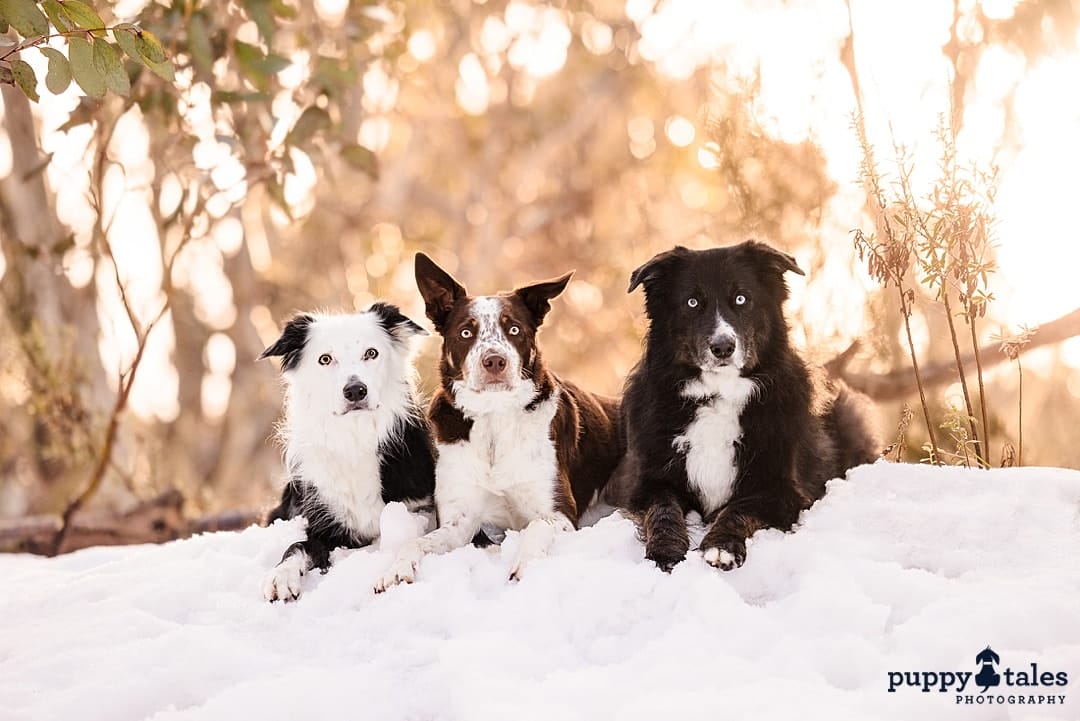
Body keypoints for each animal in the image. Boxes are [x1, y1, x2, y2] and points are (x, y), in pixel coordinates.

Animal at [257, 302, 434, 600]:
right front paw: (281, 575)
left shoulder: (420, 508)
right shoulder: (325, 526)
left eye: (371, 353)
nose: (354, 390)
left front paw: (395, 569)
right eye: (325, 359)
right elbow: (296, 546)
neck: (356, 436)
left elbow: (409, 538)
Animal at [622, 239, 881, 569]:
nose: (722, 347)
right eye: (692, 303)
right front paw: (666, 549)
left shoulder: (779, 488)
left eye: (741, 298)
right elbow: (663, 510)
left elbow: (739, 509)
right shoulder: (651, 483)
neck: (719, 394)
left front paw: (721, 546)